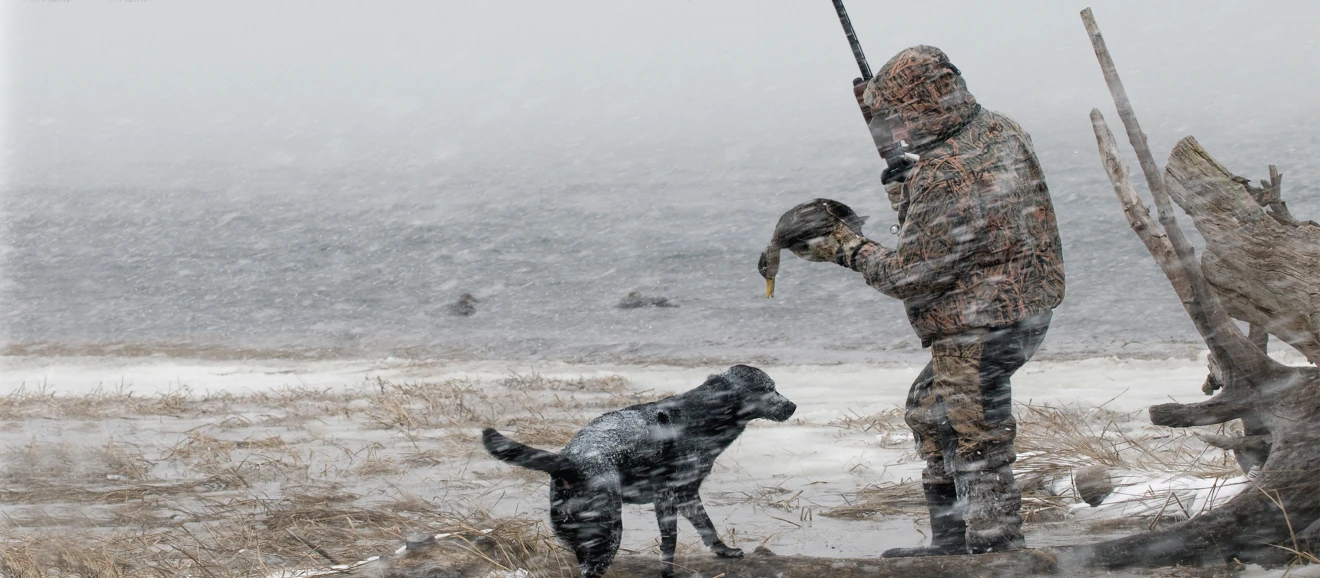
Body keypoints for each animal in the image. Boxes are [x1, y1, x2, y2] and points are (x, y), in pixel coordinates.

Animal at [483, 364, 792, 575]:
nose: (794, 405)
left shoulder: (688, 495)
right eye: (769, 388)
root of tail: (569, 461)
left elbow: (707, 528)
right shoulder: (667, 496)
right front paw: (668, 573)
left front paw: (724, 551)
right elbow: (670, 544)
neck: (702, 415)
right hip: (608, 532)